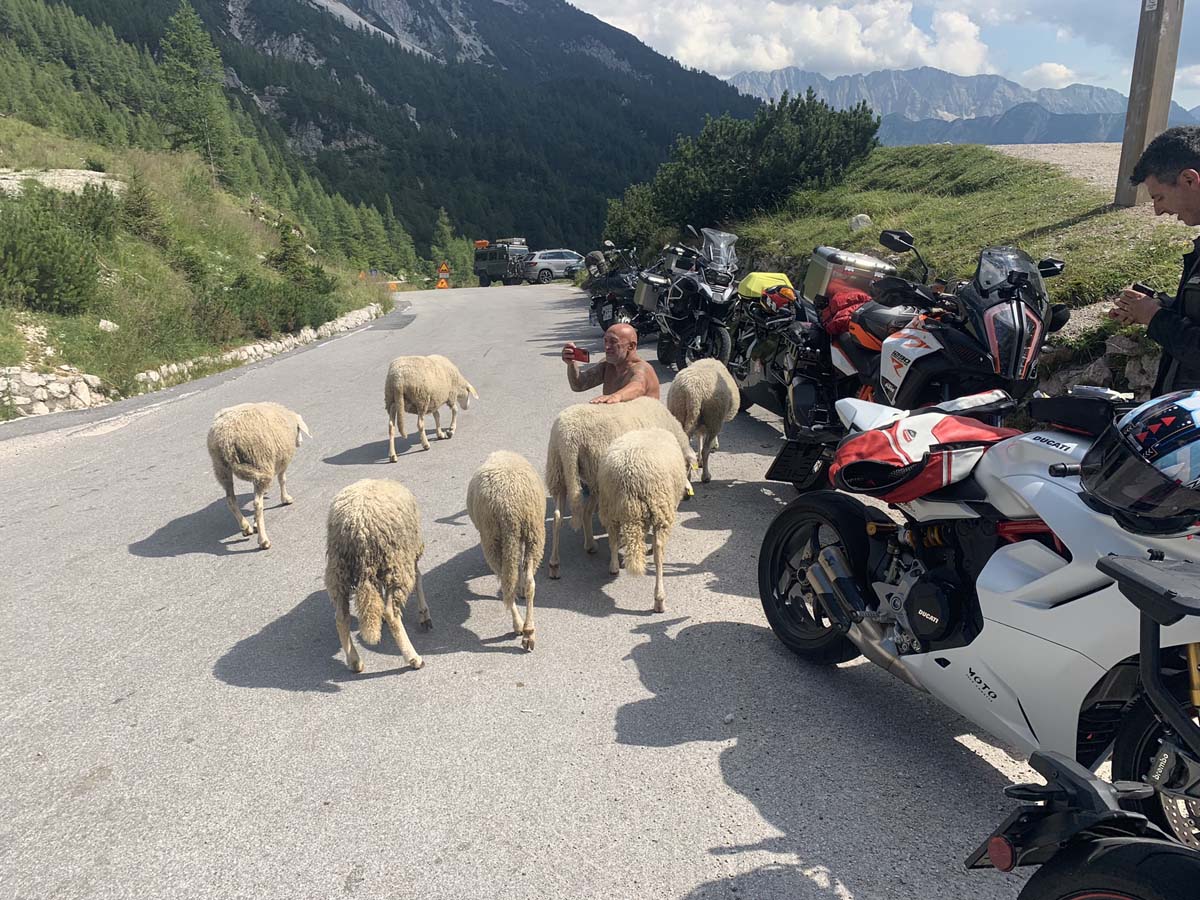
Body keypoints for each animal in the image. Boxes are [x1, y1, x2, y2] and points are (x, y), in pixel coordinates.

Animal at [206, 401, 311, 550]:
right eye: (299, 429)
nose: (299, 443)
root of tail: (227, 438)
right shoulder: (282, 461)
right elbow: (282, 479)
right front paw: (286, 499)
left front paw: (254, 523)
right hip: (260, 462)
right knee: (257, 504)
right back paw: (263, 540)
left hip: (222, 468)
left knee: (231, 500)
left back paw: (245, 527)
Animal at [325, 478, 431, 672]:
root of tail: (357, 526)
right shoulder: (410, 552)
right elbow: (419, 577)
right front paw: (424, 615)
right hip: (397, 561)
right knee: (392, 613)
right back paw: (413, 658)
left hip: (338, 569)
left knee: (341, 617)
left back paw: (354, 661)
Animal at [466, 451, 546, 651]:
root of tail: (509, 507)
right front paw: (521, 588)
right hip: (531, 533)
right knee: (526, 582)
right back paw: (527, 630)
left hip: (494, 539)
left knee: (506, 583)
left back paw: (521, 627)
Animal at [544, 396, 697, 579]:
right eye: (687, 469)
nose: (687, 496)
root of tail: (568, 437)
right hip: (595, 472)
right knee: (586, 511)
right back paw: (591, 546)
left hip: (559, 469)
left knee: (559, 516)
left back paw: (557, 562)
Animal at [597, 428, 690, 613]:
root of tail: (628, 479)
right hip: (660, 509)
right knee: (659, 552)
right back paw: (659, 600)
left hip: (609, 506)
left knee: (612, 538)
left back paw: (614, 566)